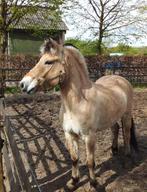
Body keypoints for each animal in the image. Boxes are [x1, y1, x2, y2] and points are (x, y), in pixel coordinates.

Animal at [19, 38, 138, 189]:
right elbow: (74, 159)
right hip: (112, 118)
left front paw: (94, 183)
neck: (77, 104)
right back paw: (114, 150)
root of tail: (121, 79)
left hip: (126, 115)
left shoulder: (89, 137)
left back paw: (127, 157)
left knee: (127, 134)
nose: (23, 84)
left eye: (48, 62)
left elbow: (90, 162)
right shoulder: (69, 134)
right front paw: (73, 181)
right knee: (115, 129)